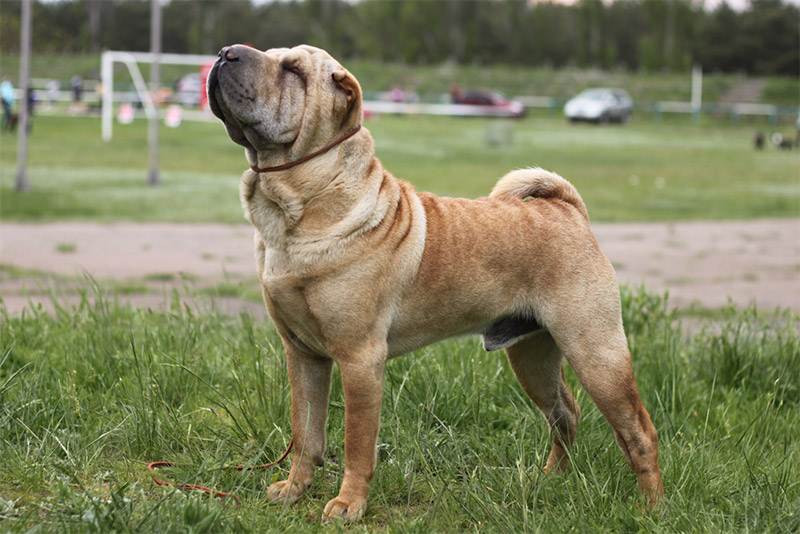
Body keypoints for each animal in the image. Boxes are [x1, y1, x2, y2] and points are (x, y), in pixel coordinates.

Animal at [207, 44, 663, 520]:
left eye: (293, 71)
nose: (226, 52)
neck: (295, 207)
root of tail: (568, 209)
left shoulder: (359, 359)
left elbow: (357, 444)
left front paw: (349, 505)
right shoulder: (303, 355)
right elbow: (306, 433)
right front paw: (295, 490)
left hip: (595, 351)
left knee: (639, 432)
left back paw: (650, 509)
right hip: (531, 356)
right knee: (565, 413)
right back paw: (550, 479)